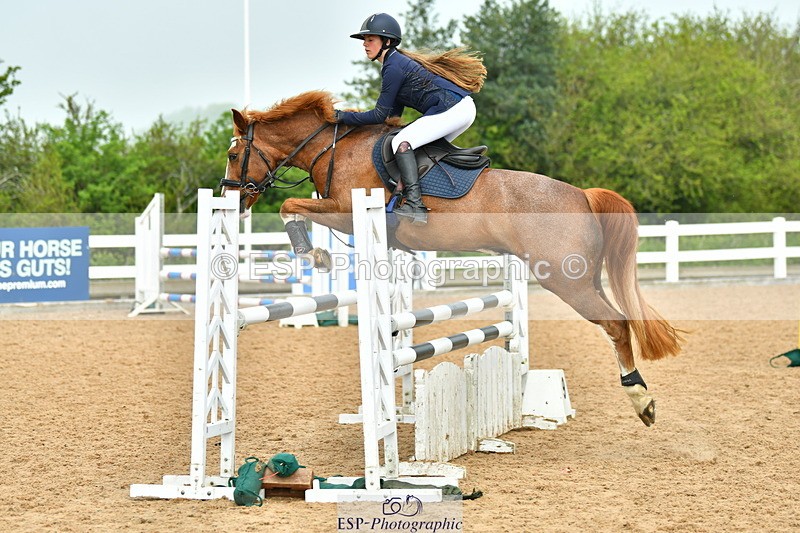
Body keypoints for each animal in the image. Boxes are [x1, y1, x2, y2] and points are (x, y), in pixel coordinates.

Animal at [221, 90, 683, 427]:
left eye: (232, 154)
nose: (233, 200)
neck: (333, 149)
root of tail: (583, 197)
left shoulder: (345, 209)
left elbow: (290, 206)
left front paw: (313, 254)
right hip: (577, 277)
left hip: (566, 280)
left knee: (617, 325)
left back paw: (640, 399)